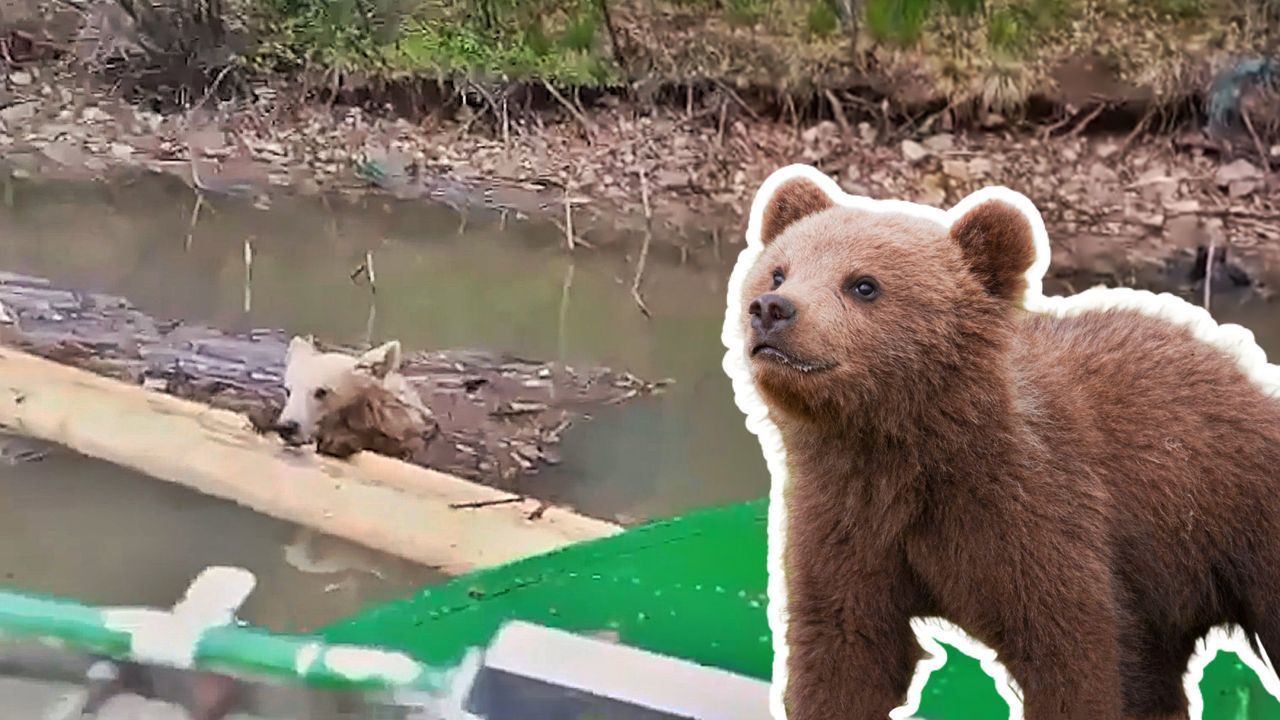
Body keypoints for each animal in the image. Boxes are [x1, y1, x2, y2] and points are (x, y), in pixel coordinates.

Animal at [730, 167, 1280, 720]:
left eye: (864, 284)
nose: (772, 309)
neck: (907, 449)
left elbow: (1072, 658)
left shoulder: (1034, 515)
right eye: (778, 271)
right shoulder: (848, 525)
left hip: (1235, 514)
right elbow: (845, 650)